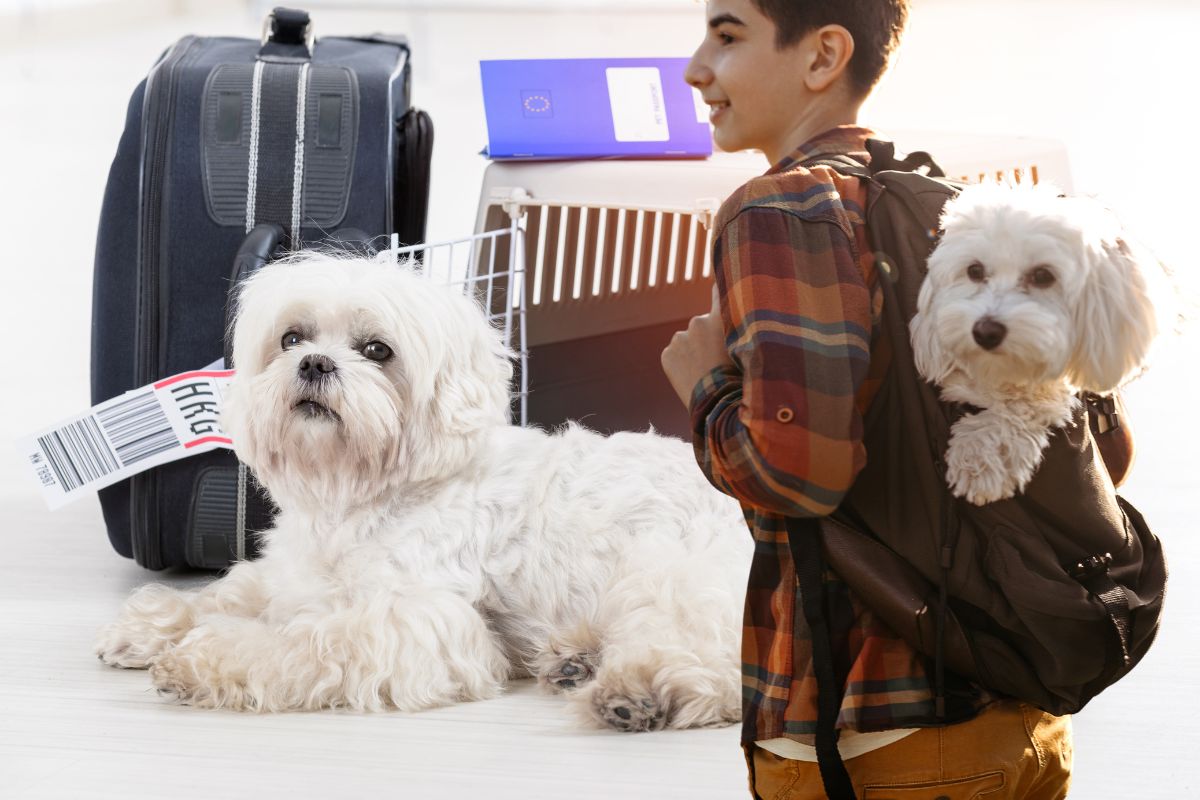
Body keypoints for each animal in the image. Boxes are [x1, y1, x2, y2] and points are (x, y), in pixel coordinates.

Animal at [96, 251, 748, 734]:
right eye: (291, 338)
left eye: (376, 350)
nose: (313, 363)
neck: (361, 496)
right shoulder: (293, 571)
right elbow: (234, 590)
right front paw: (153, 624)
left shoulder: (424, 623)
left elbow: (310, 637)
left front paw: (204, 656)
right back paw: (575, 660)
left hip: (666, 571)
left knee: (716, 665)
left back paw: (638, 691)